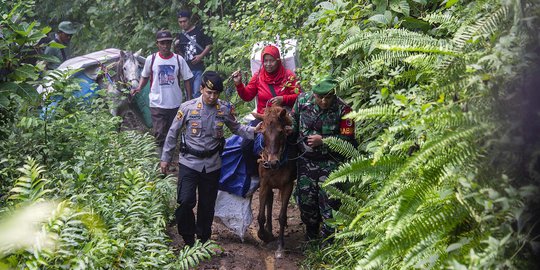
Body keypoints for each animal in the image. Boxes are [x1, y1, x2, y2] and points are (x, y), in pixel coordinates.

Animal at [252, 105, 296, 258]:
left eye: (281, 132)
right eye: (263, 132)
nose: (272, 163)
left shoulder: (288, 185)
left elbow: (282, 217)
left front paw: (280, 247)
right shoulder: (264, 183)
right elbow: (260, 216)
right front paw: (264, 235)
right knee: (269, 201)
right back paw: (269, 231)